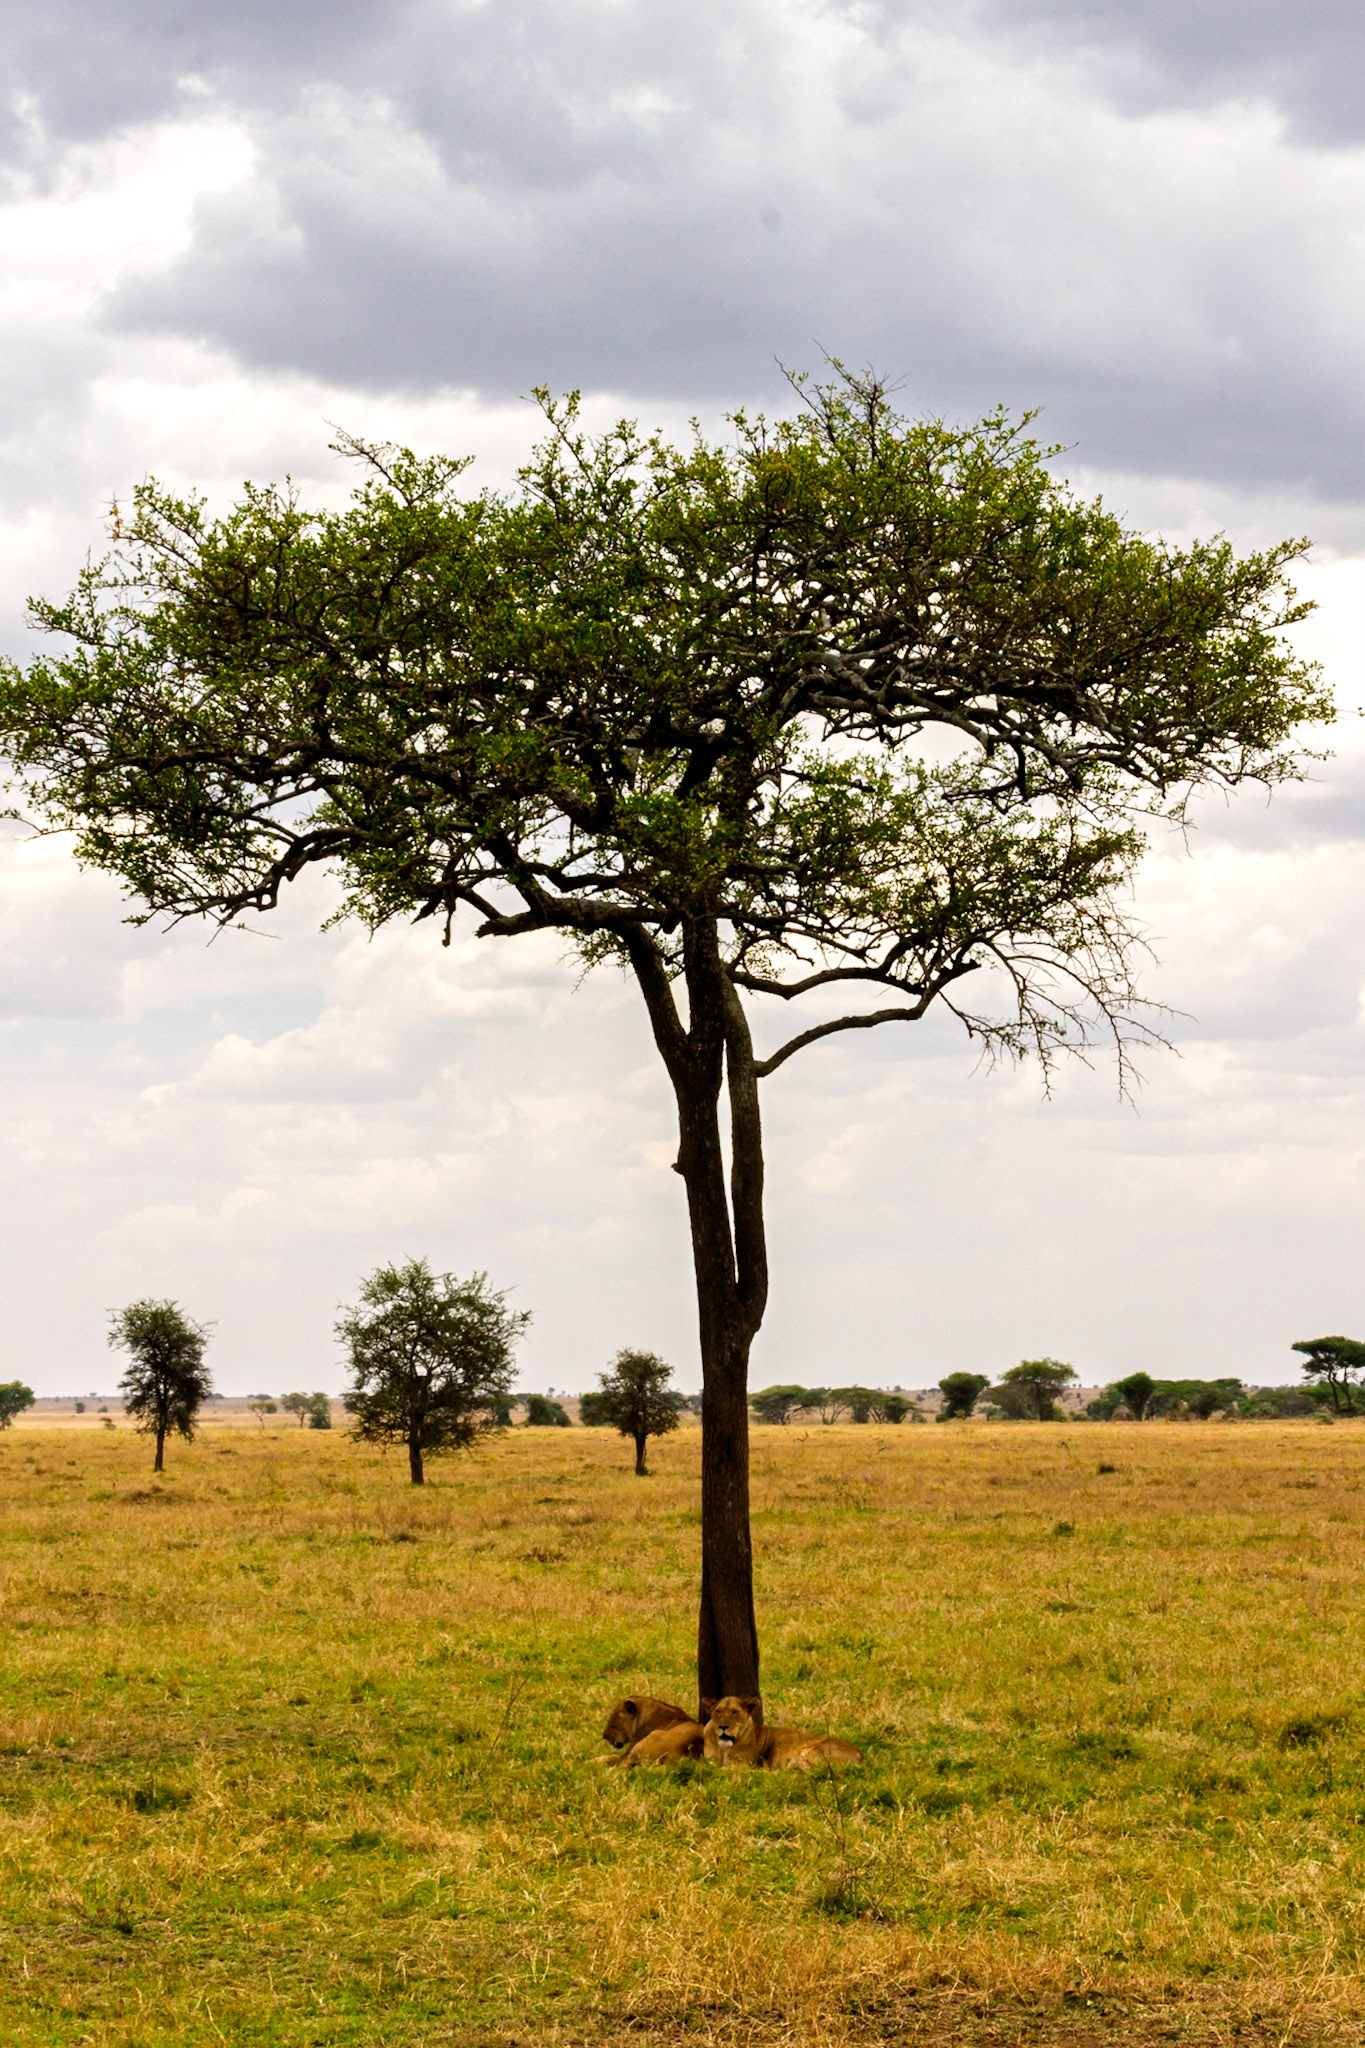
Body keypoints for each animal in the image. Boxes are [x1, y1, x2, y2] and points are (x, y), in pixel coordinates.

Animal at [702, 1695, 862, 1772]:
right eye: (718, 1711)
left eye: (734, 1712)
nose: (723, 1727)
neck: (723, 1748)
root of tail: (861, 1756)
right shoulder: (710, 1760)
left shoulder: (740, 1765)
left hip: (809, 1754)